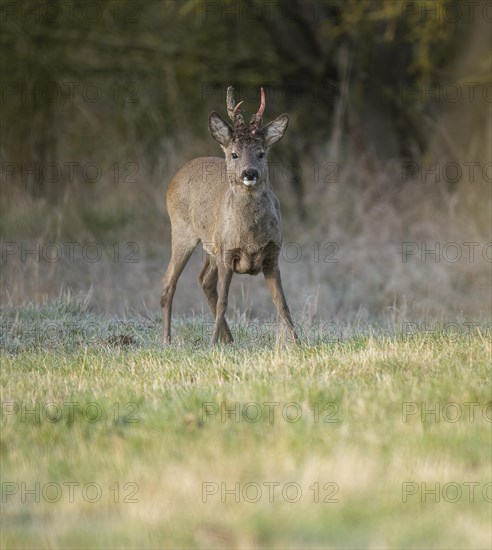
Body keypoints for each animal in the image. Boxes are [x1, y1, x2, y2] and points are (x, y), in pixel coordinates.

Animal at [163, 86, 298, 344]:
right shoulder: (227, 253)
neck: (250, 238)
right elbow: (225, 302)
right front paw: (212, 344)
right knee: (169, 282)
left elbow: (283, 305)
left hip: (211, 246)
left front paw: (298, 342)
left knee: (204, 280)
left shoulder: (272, 256)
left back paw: (229, 340)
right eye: (234, 154)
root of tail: (174, 178)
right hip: (182, 231)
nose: (250, 173)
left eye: (261, 153)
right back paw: (167, 340)